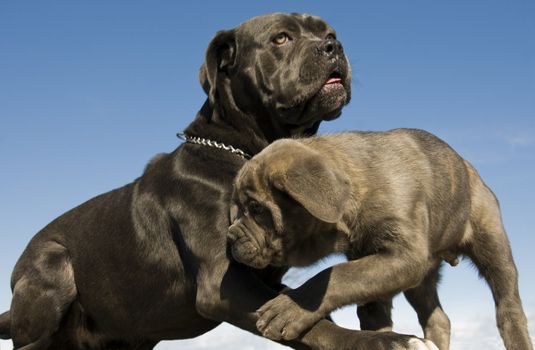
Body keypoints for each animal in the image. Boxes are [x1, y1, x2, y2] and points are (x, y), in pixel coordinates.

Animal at [229, 129, 532, 350]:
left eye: (255, 208)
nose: (230, 237)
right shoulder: (380, 264)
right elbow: (366, 302)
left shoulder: (402, 257)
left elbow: (338, 275)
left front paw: (291, 307)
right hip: (421, 279)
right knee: (438, 319)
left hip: (492, 245)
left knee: (509, 307)